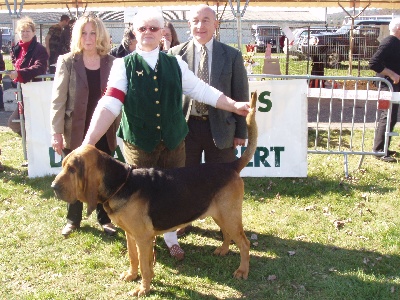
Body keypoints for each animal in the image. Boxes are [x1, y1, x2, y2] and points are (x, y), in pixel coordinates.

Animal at [51, 92, 258, 296]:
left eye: (72, 169)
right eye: (63, 165)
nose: (53, 187)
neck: (121, 183)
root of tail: (230, 166)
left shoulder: (143, 238)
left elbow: (144, 265)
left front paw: (143, 288)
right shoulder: (131, 234)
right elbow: (133, 257)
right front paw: (131, 276)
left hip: (229, 215)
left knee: (244, 243)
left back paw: (242, 271)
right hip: (220, 215)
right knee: (228, 235)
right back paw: (223, 250)